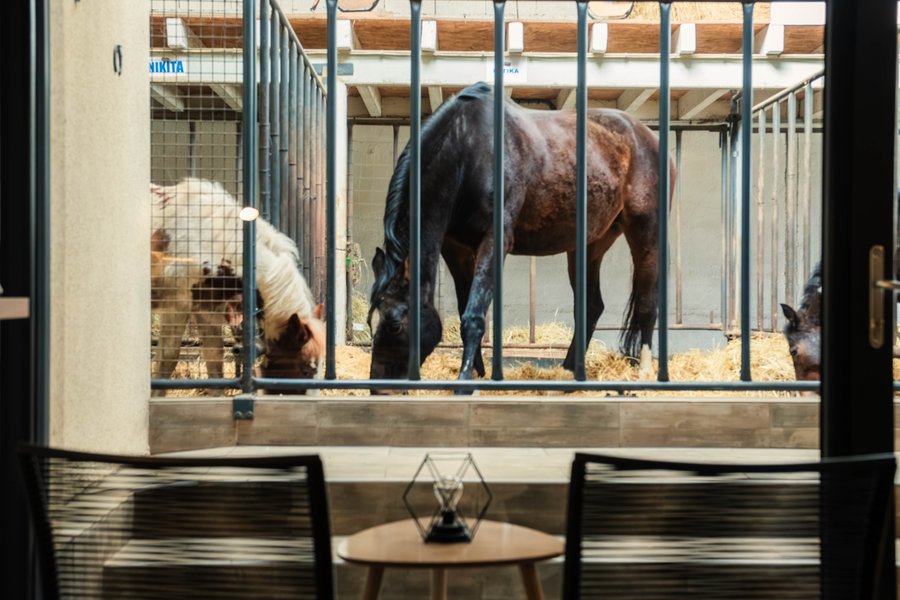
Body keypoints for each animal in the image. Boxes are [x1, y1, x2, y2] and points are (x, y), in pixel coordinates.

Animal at [368, 82, 674, 392]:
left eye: (394, 324)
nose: (378, 387)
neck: (468, 148)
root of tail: (648, 138)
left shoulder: (495, 241)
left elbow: (474, 314)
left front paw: (464, 383)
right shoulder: (455, 249)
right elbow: (466, 304)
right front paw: (477, 371)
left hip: (646, 234)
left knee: (647, 302)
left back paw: (644, 373)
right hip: (590, 246)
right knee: (591, 305)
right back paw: (570, 373)